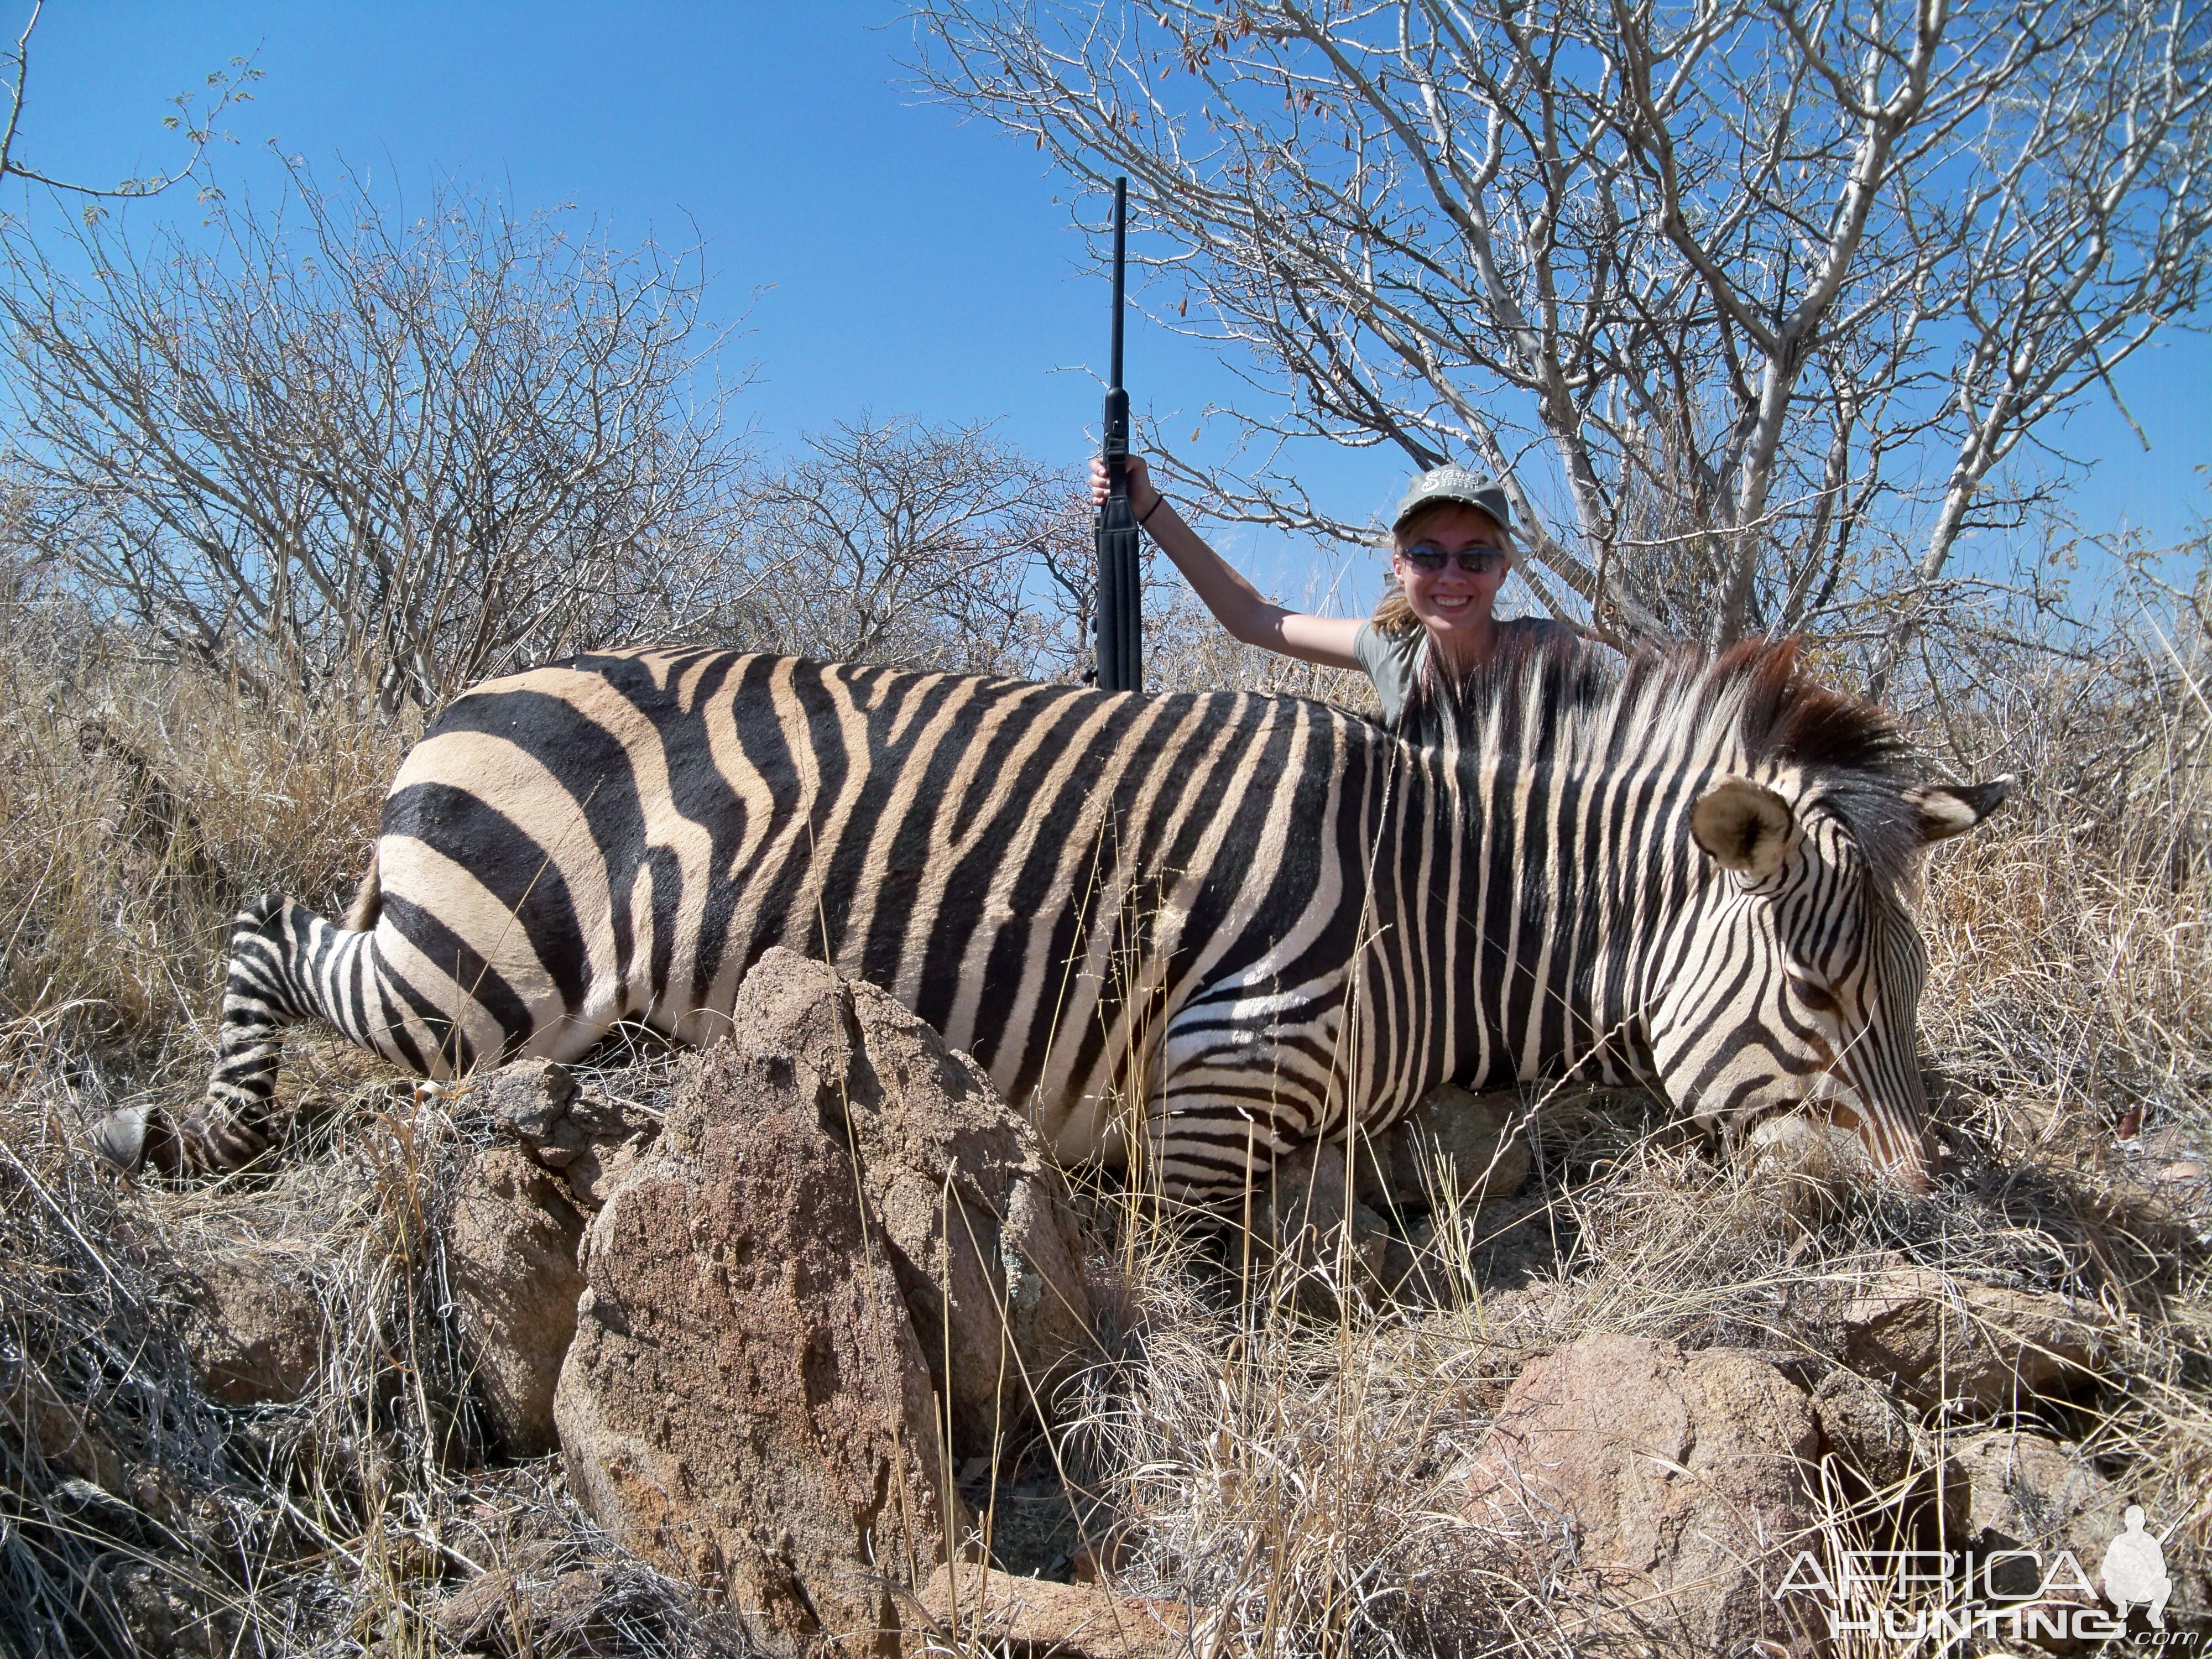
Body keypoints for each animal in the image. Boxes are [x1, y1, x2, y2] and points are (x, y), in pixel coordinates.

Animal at [100, 637, 2008, 1194]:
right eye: (1821, 996)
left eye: (1912, 996)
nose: (1935, 1196)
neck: (1442, 896)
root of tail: (474, 687)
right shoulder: (1214, 1073)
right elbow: (1203, 1309)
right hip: (477, 968)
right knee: (263, 926)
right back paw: (193, 1127)